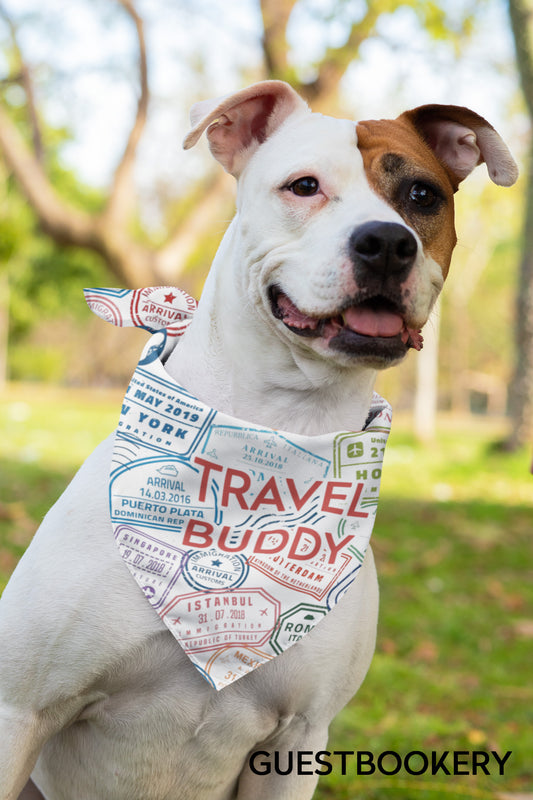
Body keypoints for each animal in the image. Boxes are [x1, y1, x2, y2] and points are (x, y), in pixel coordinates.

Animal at [0, 83, 516, 800]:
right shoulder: (22, 710)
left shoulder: (297, 737)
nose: (387, 242)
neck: (278, 434)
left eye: (421, 195)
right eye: (304, 186)